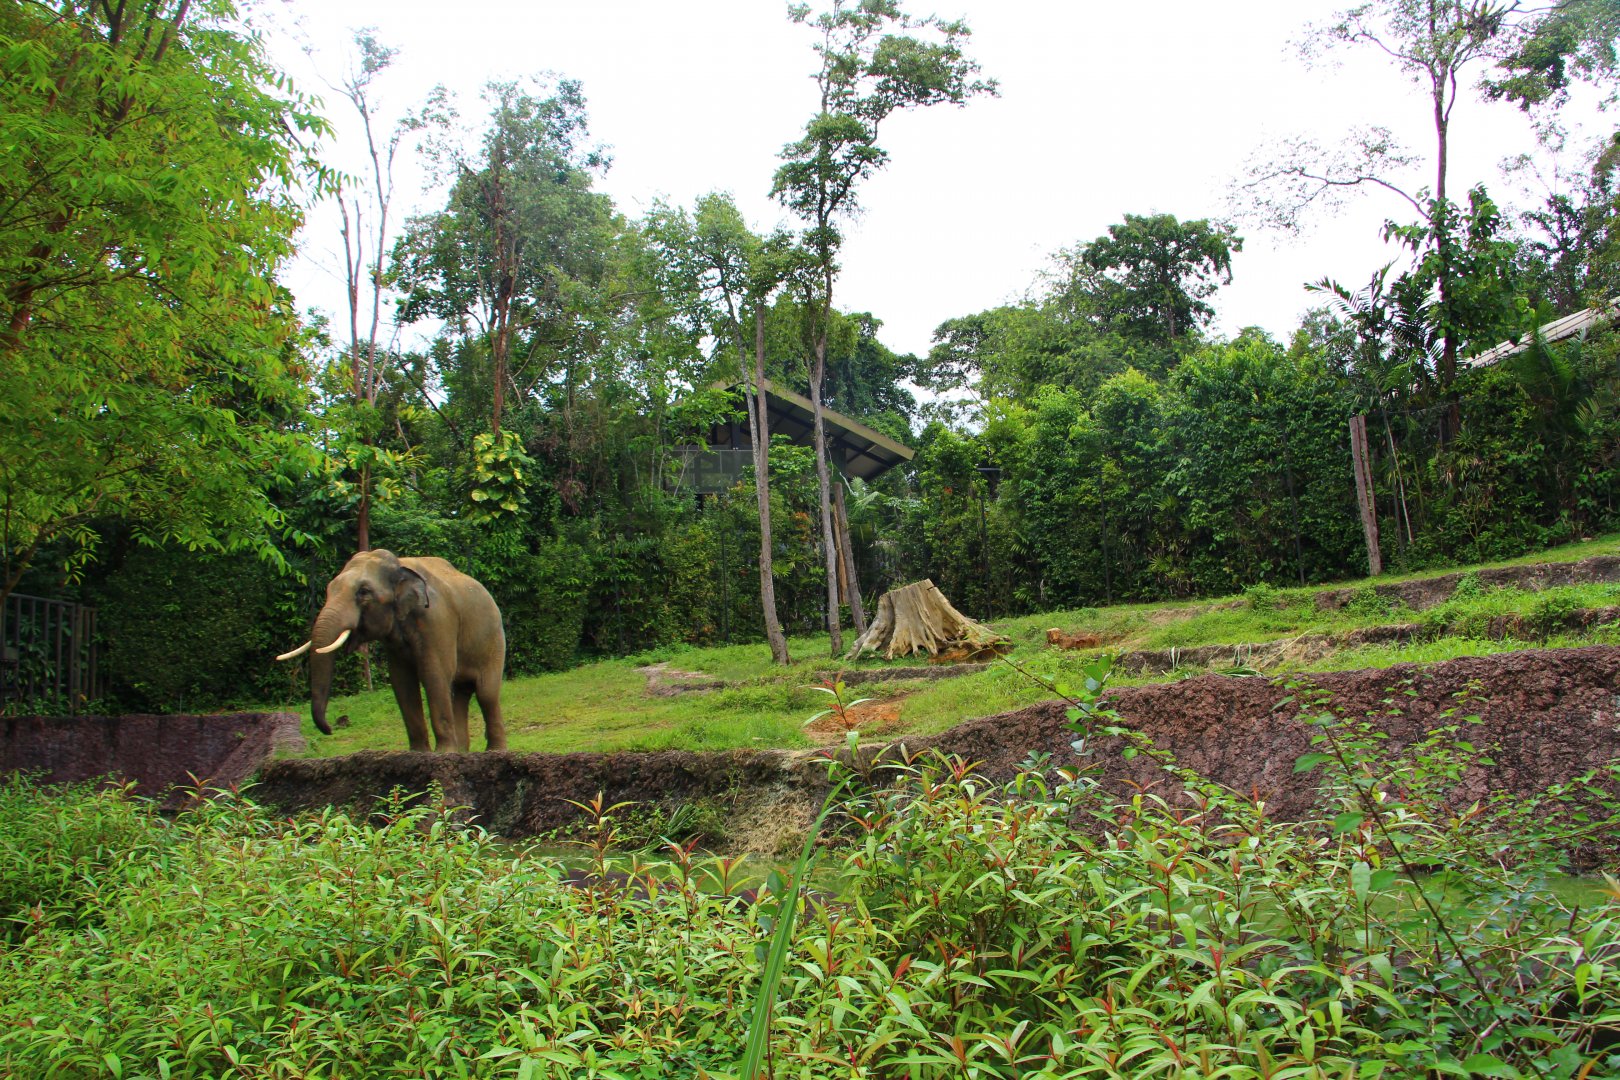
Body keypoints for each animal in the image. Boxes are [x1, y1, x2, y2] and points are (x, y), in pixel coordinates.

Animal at [276, 550, 507, 752]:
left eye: (364, 592)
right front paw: (419, 753)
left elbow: (435, 674)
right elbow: (401, 681)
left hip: (494, 641)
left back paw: (494, 751)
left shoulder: (438, 620)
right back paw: (463, 752)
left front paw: (444, 753)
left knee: (485, 692)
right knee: (460, 693)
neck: (399, 565)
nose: (330, 729)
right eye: (328, 589)